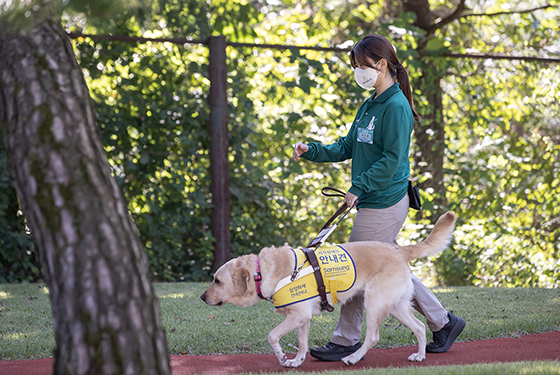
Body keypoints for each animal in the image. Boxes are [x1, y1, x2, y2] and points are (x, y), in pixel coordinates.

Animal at [200, 213, 456, 368]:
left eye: (217, 281)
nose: (202, 297)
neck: (262, 272)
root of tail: (398, 250)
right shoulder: (302, 317)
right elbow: (302, 343)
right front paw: (297, 361)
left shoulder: (298, 315)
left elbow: (272, 335)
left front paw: (281, 356)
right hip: (396, 306)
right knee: (420, 327)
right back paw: (420, 355)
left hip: (374, 302)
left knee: (373, 337)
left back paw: (352, 357)